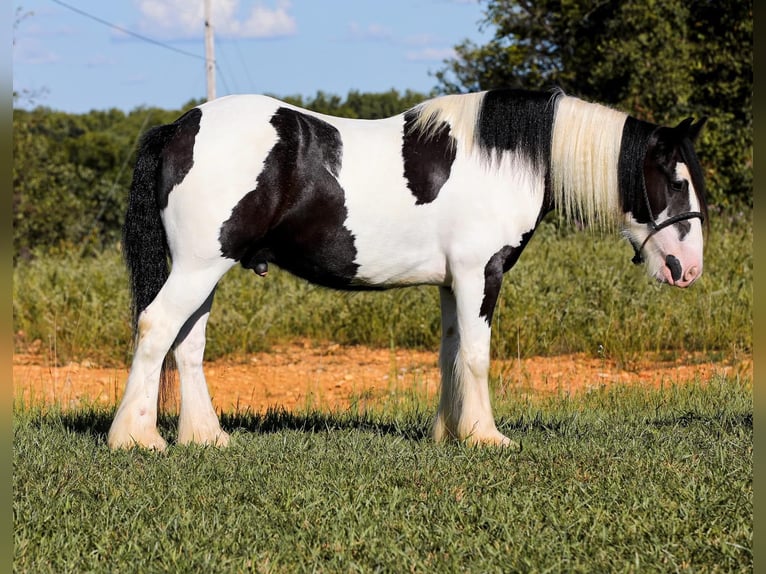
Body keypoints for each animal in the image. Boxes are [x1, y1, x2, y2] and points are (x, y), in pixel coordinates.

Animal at [106, 88, 708, 452]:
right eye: (676, 180)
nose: (689, 269)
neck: (504, 157)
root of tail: (180, 126)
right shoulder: (480, 275)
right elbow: (477, 356)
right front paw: (487, 437)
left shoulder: (451, 282)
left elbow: (449, 356)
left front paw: (448, 433)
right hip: (199, 266)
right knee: (157, 328)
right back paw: (136, 439)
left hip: (207, 268)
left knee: (187, 344)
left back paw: (206, 438)